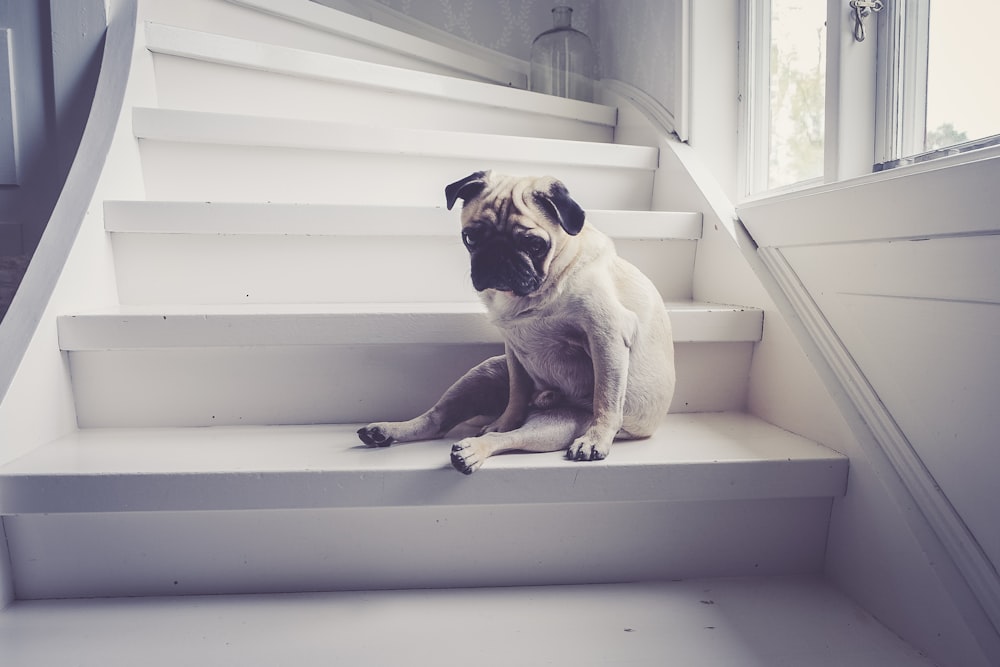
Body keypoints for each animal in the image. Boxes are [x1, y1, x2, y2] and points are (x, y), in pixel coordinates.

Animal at [356, 172, 676, 474]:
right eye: (470, 237)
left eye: (534, 244)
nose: (498, 254)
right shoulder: (514, 351)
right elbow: (517, 394)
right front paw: (506, 420)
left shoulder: (606, 335)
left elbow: (606, 397)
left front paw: (596, 439)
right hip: (485, 372)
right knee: (438, 420)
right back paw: (386, 431)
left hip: (556, 426)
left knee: (508, 439)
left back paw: (472, 452)